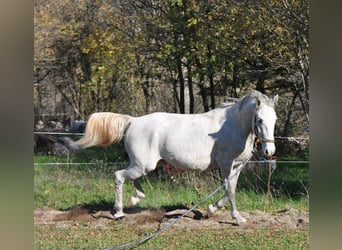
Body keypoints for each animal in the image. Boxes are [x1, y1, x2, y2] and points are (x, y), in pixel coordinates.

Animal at [73, 90, 278, 225]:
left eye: (275, 119)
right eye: (259, 119)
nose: (269, 151)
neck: (232, 126)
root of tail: (134, 121)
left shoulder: (237, 166)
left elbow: (230, 190)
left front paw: (211, 210)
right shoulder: (226, 165)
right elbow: (229, 190)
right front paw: (237, 218)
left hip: (139, 164)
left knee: (129, 178)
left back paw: (135, 199)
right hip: (143, 165)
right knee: (119, 176)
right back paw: (119, 213)